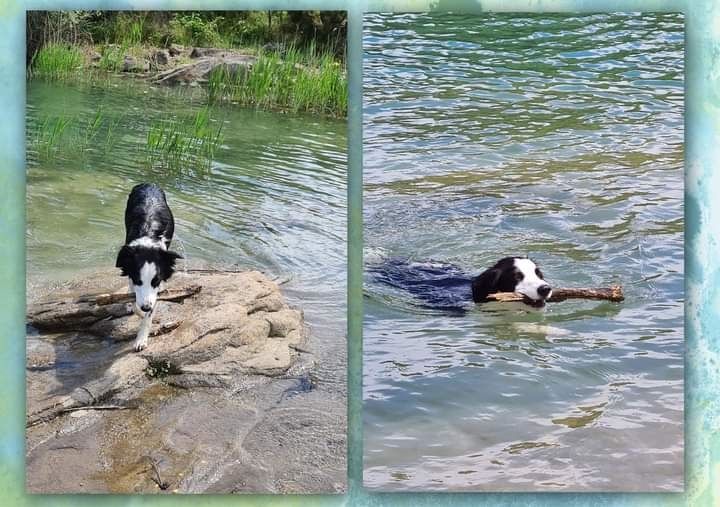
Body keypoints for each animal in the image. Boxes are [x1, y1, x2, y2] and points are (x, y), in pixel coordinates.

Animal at [115, 184, 183, 354]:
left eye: (156, 281)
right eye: (138, 280)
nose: (146, 307)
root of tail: (148, 184)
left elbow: (149, 313)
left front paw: (141, 340)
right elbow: (134, 301)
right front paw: (139, 311)